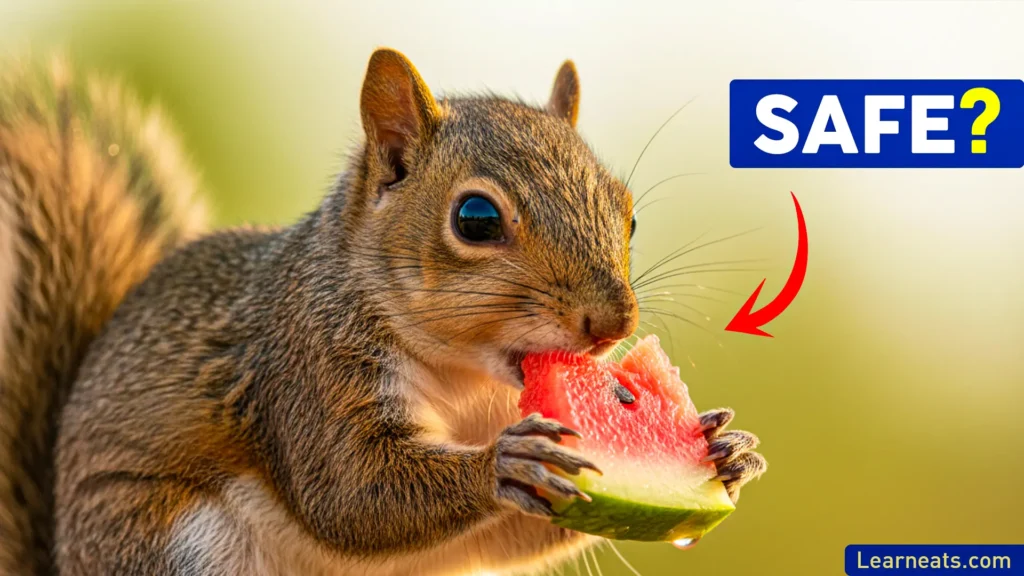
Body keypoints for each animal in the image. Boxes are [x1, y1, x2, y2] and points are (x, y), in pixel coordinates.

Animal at [0, 49, 767, 575]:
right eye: (476, 218)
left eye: (628, 214)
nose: (614, 325)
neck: (469, 384)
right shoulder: (306, 370)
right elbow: (350, 493)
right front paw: (503, 463)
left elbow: (517, 535)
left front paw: (724, 449)